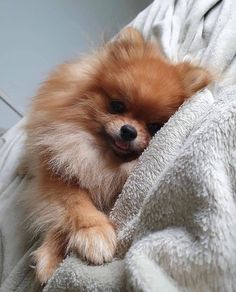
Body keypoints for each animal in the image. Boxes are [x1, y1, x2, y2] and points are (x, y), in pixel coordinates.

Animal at [24, 26, 211, 282]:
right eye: (116, 106)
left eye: (155, 126)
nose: (129, 131)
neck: (104, 159)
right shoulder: (58, 168)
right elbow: (74, 204)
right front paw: (91, 235)